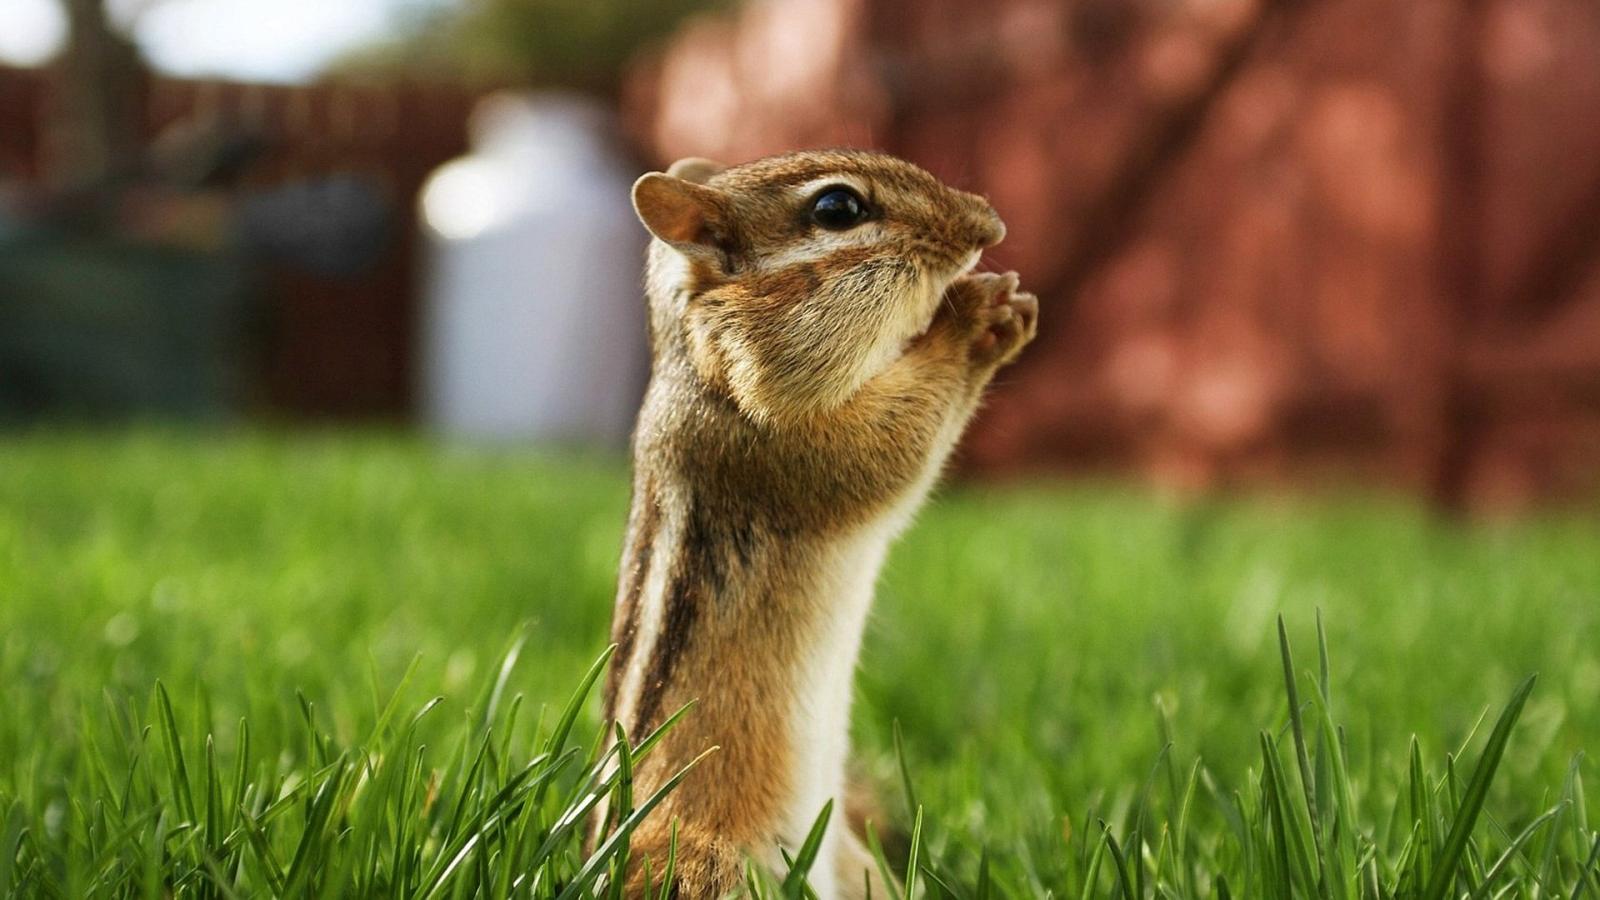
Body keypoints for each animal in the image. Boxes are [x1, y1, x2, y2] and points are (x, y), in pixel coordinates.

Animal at [598, 149, 1037, 898]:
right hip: (711, 867)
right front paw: (977, 319)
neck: (702, 364)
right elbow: (890, 451)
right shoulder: (781, 442)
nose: (991, 223)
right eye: (838, 209)